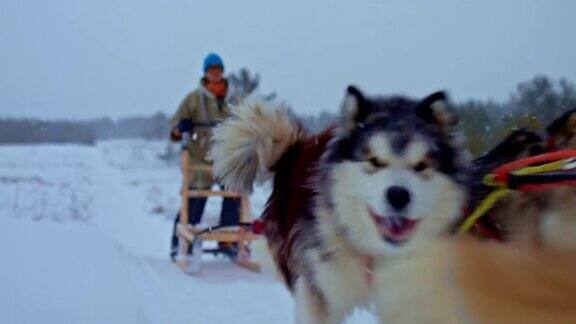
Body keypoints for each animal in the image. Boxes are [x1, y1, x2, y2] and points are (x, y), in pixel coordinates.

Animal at [209, 85, 470, 322]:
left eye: (422, 165)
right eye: (374, 161)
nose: (398, 195)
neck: (374, 253)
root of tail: (293, 151)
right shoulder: (318, 292)